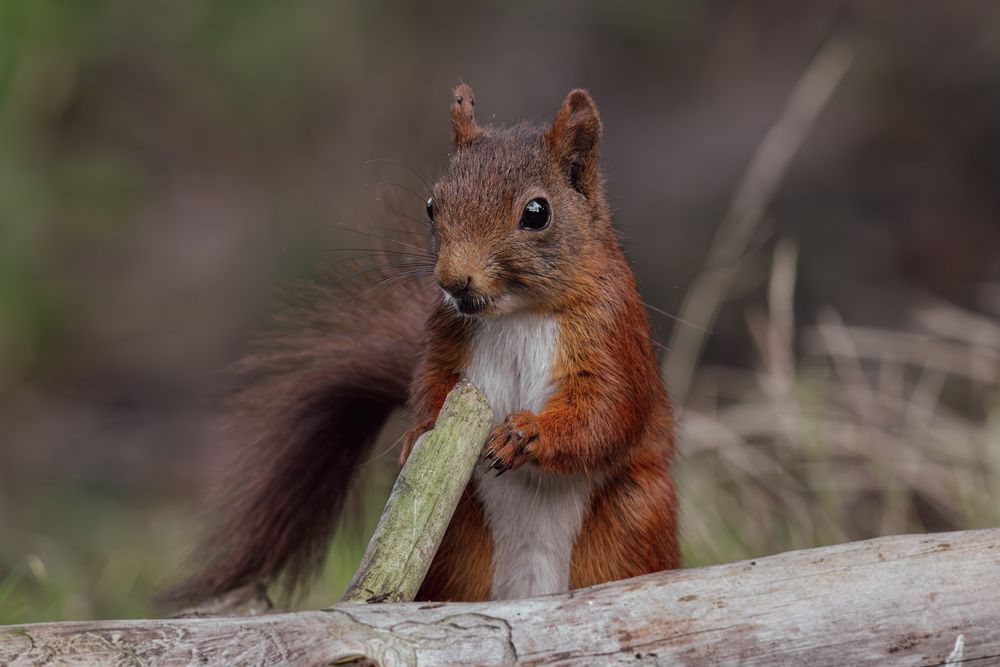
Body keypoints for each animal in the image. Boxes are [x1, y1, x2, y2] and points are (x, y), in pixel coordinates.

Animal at [178, 83, 680, 604]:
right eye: (431, 205)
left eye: (537, 213)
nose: (453, 281)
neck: (516, 315)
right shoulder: (445, 338)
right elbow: (432, 382)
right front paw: (420, 430)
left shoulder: (611, 330)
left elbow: (608, 409)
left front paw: (526, 433)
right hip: (458, 546)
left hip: (630, 524)